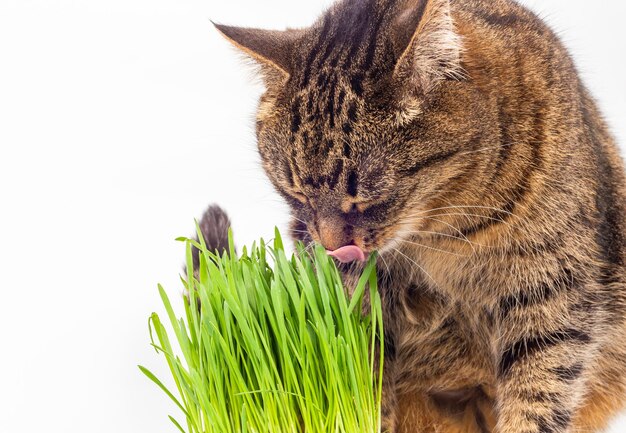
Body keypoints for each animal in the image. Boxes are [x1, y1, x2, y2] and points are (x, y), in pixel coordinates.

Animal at [201, 0, 626, 432]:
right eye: (297, 191)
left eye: (364, 196)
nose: (332, 246)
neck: (441, 231)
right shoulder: (355, 296)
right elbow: (363, 374)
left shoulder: (552, 288)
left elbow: (539, 392)